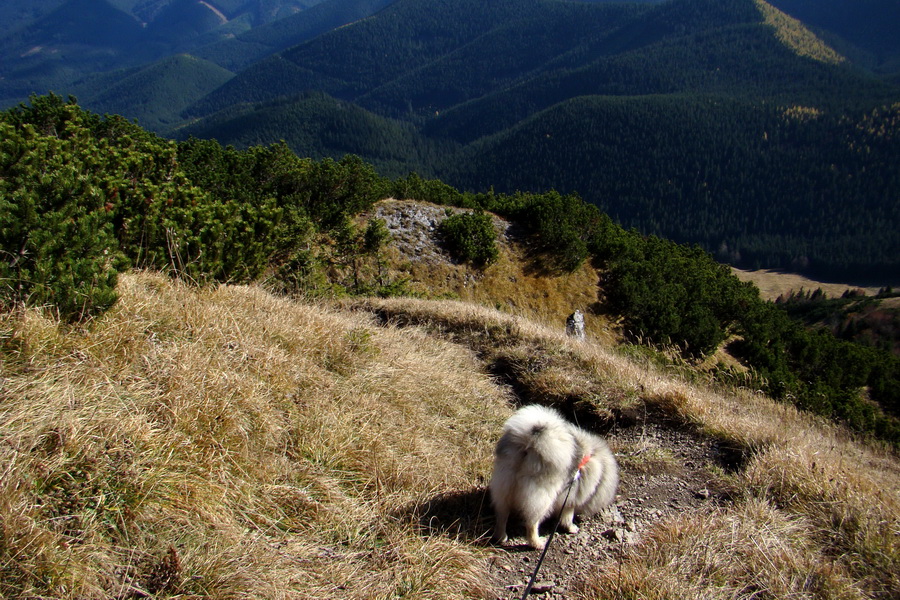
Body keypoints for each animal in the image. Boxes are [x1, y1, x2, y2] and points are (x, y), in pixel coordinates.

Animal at [488, 404, 616, 548]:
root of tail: (528, 445)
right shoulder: (570, 499)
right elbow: (567, 516)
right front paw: (571, 528)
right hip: (542, 498)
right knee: (531, 524)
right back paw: (537, 543)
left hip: (503, 487)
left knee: (502, 515)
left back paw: (501, 537)